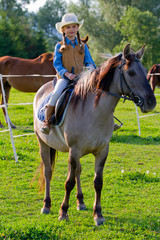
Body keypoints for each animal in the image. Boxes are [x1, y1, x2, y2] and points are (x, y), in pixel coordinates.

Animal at [32, 44, 156, 226]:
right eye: (132, 72)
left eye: (146, 70)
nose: (151, 102)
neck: (93, 112)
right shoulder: (74, 151)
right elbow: (68, 182)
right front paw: (63, 212)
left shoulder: (102, 151)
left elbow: (97, 182)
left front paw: (98, 214)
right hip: (44, 144)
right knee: (48, 171)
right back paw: (46, 205)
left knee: (77, 171)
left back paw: (81, 202)